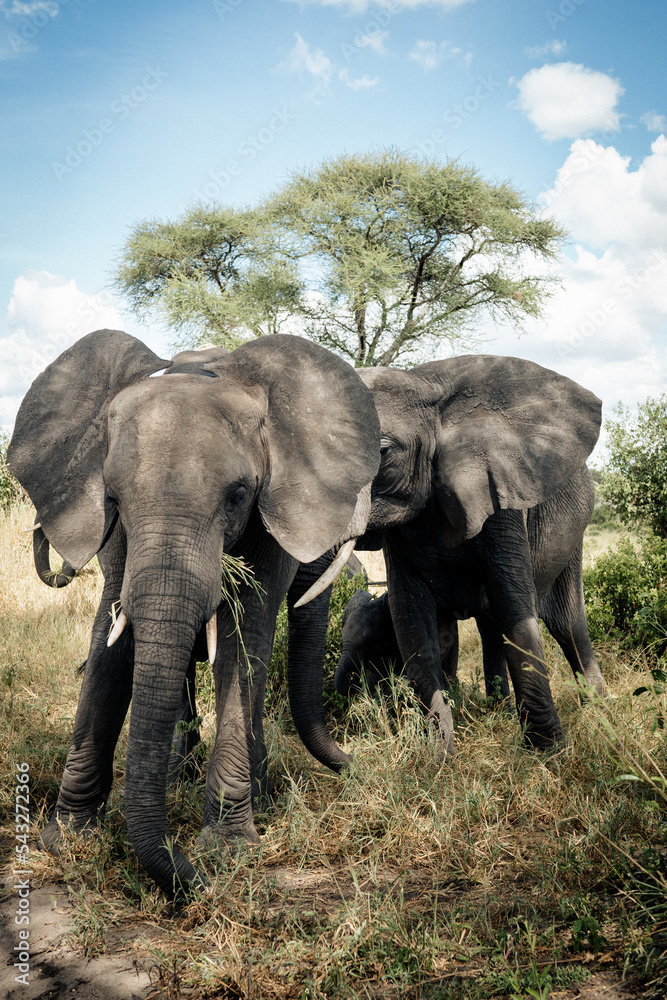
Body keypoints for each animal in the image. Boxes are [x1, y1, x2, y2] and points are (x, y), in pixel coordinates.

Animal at [8, 329, 379, 896]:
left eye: (238, 495)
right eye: (113, 498)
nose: (193, 878)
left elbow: (243, 638)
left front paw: (227, 850)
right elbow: (110, 638)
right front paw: (67, 839)